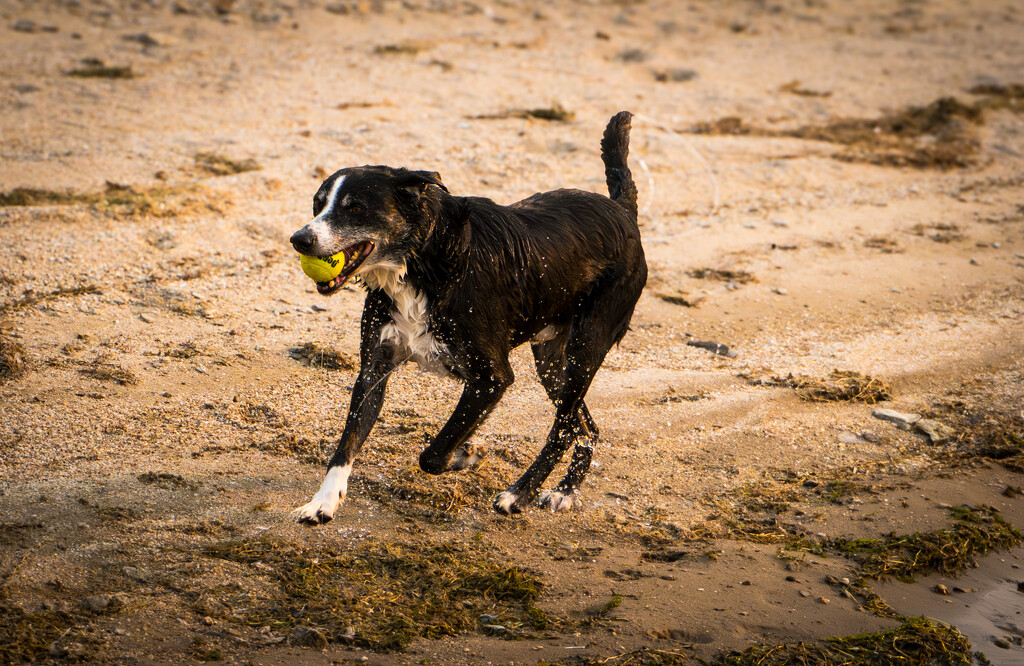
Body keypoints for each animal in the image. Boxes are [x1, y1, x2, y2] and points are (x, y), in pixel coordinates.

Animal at [288, 110, 643, 524]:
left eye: (355, 207)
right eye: (317, 205)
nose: (299, 239)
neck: (425, 262)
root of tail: (623, 211)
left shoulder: (491, 379)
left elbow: (434, 452)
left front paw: (467, 454)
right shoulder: (374, 368)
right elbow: (347, 442)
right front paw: (323, 502)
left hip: (586, 347)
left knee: (564, 428)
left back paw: (519, 494)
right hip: (553, 360)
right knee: (584, 426)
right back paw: (563, 491)